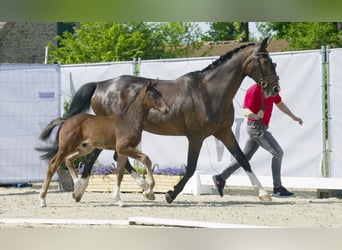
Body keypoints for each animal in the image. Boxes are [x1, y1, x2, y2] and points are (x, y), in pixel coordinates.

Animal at [36, 80, 170, 207]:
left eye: (161, 93)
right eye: (153, 94)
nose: (167, 109)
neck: (129, 121)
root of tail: (67, 120)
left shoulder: (122, 151)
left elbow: (120, 173)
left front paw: (118, 200)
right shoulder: (124, 148)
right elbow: (146, 159)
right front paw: (149, 190)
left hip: (85, 148)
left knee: (69, 160)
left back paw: (77, 186)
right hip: (66, 147)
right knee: (52, 165)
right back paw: (42, 200)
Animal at [48, 37, 278, 203]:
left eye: (273, 62)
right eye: (264, 61)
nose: (275, 89)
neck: (210, 92)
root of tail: (101, 84)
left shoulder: (223, 132)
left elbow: (242, 159)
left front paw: (263, 193)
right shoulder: (196, 137)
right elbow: (191, 168)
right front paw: (170, 194)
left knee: (112, 157)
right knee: (95, 157)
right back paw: (86, 190)